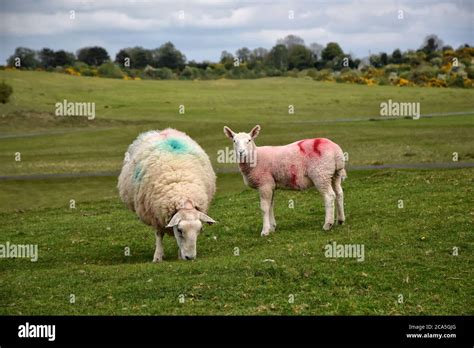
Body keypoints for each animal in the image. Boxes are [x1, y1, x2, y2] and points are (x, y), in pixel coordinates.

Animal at [118, 128, 217, 260]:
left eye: (200, 230)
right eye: (179, 230)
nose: (190, 257)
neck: (182, 195)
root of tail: (162, 131)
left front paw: (180, 255)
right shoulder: (155, 215)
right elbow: (159, 234)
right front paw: (158, 256)